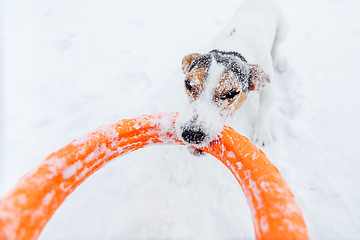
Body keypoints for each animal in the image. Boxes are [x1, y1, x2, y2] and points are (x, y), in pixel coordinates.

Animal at [174, 0, 286, 150]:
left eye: (231, 93)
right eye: (189, 84)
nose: (192, 134)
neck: (232, 47)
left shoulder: (268, 89)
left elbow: (263, 111)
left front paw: (262, 134)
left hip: (283, 29)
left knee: (277, 45)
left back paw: (279, 60)